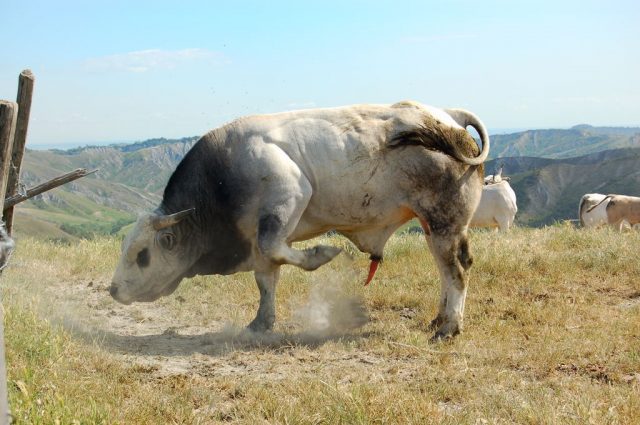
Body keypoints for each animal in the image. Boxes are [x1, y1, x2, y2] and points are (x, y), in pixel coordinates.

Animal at [110, 99, 490, 338]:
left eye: (141, 255)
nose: (112, 289)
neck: (221, 178)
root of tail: (448, 116)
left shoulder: (287, 196)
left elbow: (278, 250)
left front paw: (322, 254)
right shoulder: (256, 240)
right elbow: (266, 279)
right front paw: (261, 323)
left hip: (444, 224)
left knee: (456, 271)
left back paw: (449, 327)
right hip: (434, 227)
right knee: (446, 271)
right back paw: (439, 318)